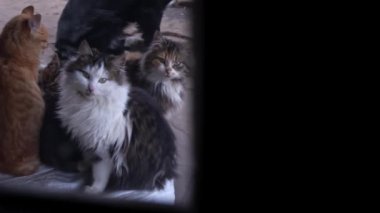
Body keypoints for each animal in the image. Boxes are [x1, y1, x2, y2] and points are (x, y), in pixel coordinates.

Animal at [55, 40, 177, 192]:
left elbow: (100, 173)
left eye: (103, 80)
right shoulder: (87, 138)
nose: (90, 88)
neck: (86, 105)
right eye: (85, 75)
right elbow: (88, 156)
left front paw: (94, 189)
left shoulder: (105, 149)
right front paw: (84, 164)